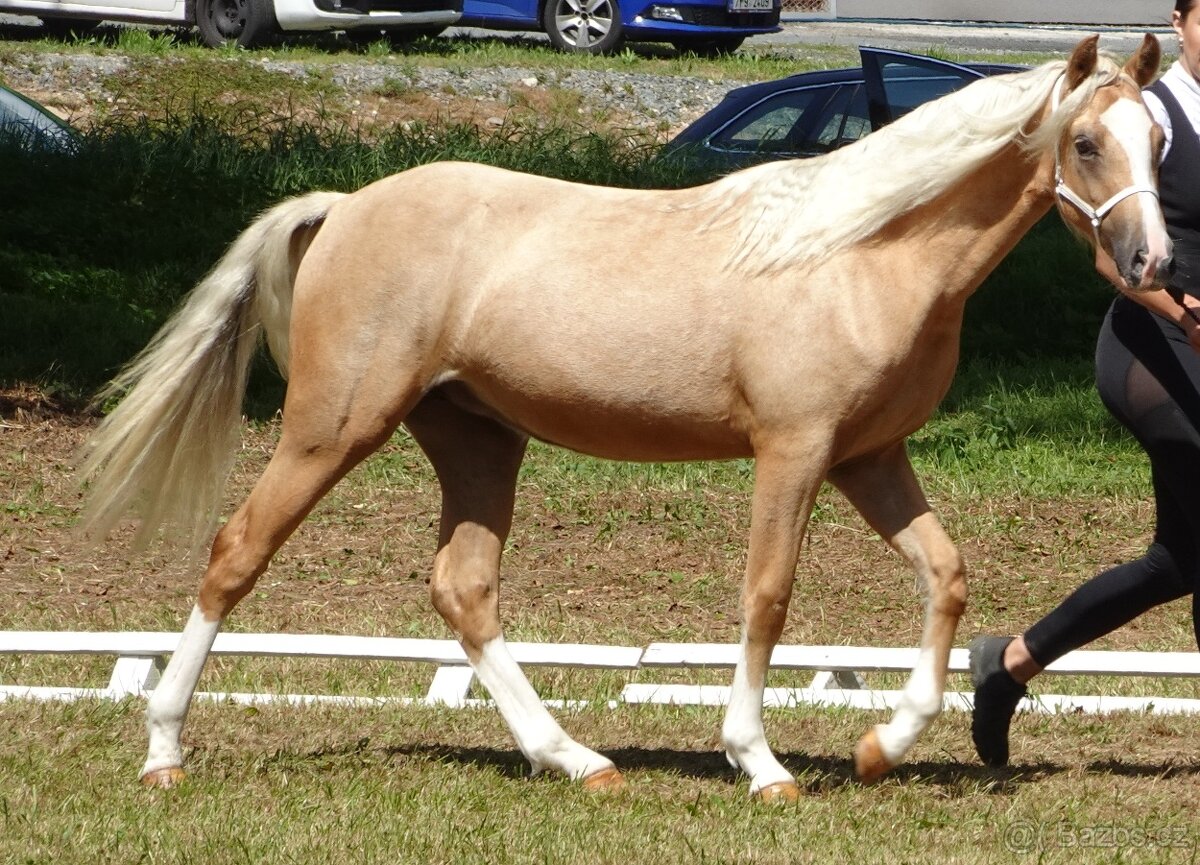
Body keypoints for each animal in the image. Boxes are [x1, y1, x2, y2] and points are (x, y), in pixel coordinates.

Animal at [79, 35, 1169, 801]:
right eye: (1084, 142)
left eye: (1159, 141)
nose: (1154, 262)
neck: (860, 256)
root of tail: (345, 206)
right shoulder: (794, 451)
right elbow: (767, 596)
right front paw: (759, 762)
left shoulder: (870, 456)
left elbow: (945, 578)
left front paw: (879, 746)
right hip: (332, 429)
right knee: (237, 551)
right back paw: (164, 750)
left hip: (477, 439)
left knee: (464, 590)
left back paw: (575, 758)